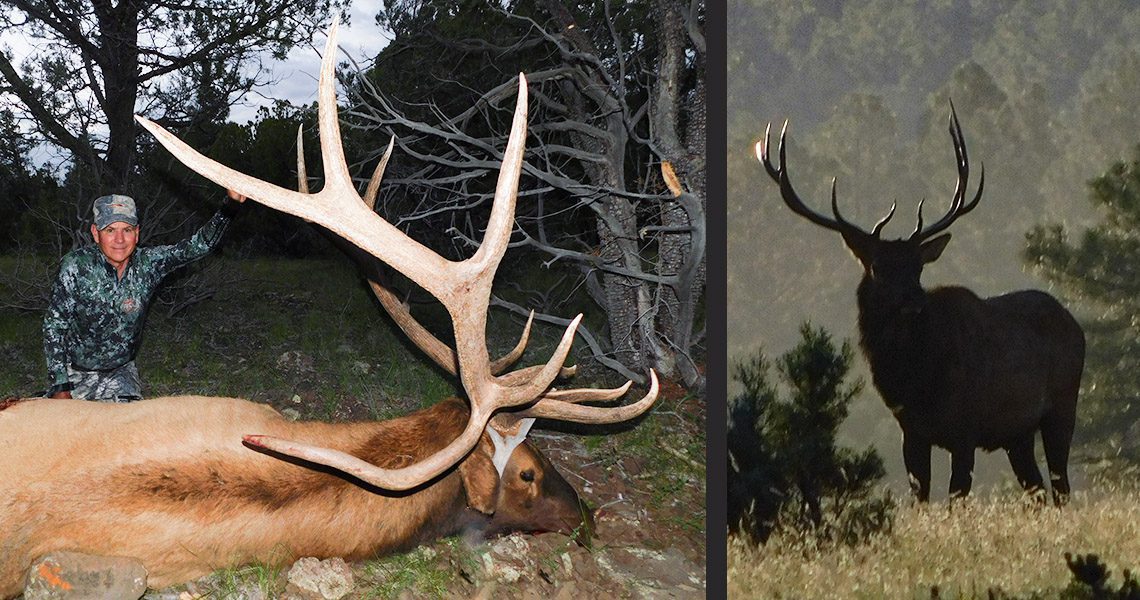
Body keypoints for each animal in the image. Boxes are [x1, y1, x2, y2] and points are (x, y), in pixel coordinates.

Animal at [756, 104, 1085, 505]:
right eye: (878, 267)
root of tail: (1076, 324)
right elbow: (921, 496)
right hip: (1016, 434)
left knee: (1061, 486)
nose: (913, 302)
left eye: (918, 267)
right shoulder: (910, 430)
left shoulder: (965, 427)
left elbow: (956, 495)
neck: (916, 379)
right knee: (1036, 489)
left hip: (1062, 405)